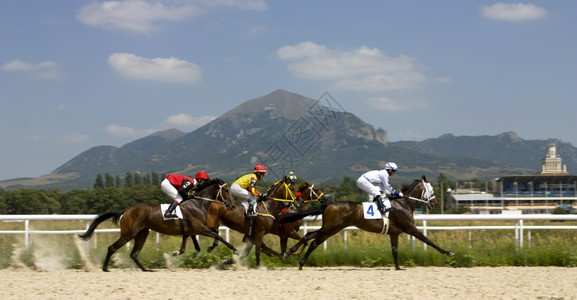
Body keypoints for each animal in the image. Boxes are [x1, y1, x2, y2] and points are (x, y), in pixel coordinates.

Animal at [77, 178, 237, 272]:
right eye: (226, 190)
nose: (233, 206)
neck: (198, 203)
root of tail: (126, 210)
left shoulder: (192, 229)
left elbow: (194, 242)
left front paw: (182, 252)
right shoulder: (199, 228)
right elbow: (217, 235)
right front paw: (234, 249)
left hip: (142, 233)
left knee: (134, 254)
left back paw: (146, 270)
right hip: (129, 233)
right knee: (112, 247)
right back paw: (105, 268)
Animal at [280, 175, 454, 270]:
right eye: (431, 190)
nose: (435, 204)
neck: (404, 204)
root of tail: (329, 204)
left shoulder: (394, 233)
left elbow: (394, 250)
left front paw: (398, 267)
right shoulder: (410, 228)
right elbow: (428, 240)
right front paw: (447, 252)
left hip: (329, 227)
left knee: (308, 235)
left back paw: (289, 253)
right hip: (332, 228)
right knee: (314, 242)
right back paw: (301, 262)